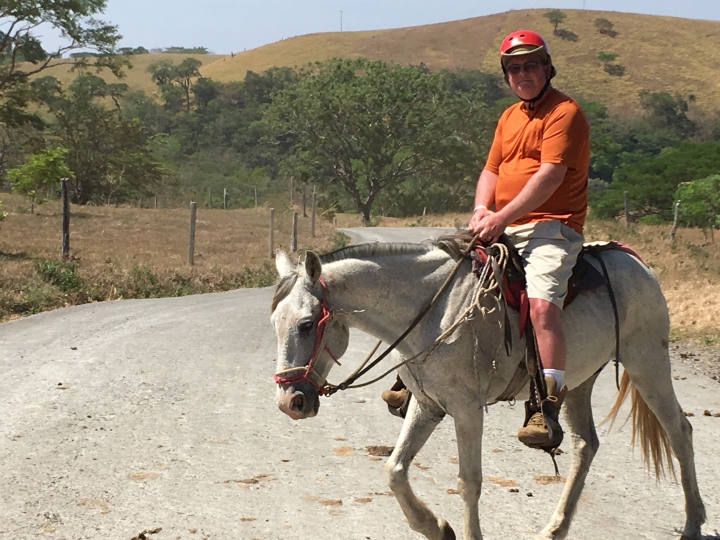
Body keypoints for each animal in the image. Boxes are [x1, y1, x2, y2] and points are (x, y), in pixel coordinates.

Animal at [268, 242, 704, 540]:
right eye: (275, 323)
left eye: (306, 324)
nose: (290, 402)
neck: (433, 313)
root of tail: (635, 261)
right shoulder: (427, 406)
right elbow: (394, 471)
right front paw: (435, 527)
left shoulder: (466, 409)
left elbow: (469, 482)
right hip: (581, 382)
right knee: (586, 445)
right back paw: (555, 528)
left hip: (647, 362)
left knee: (679, 432)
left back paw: (693, 523)